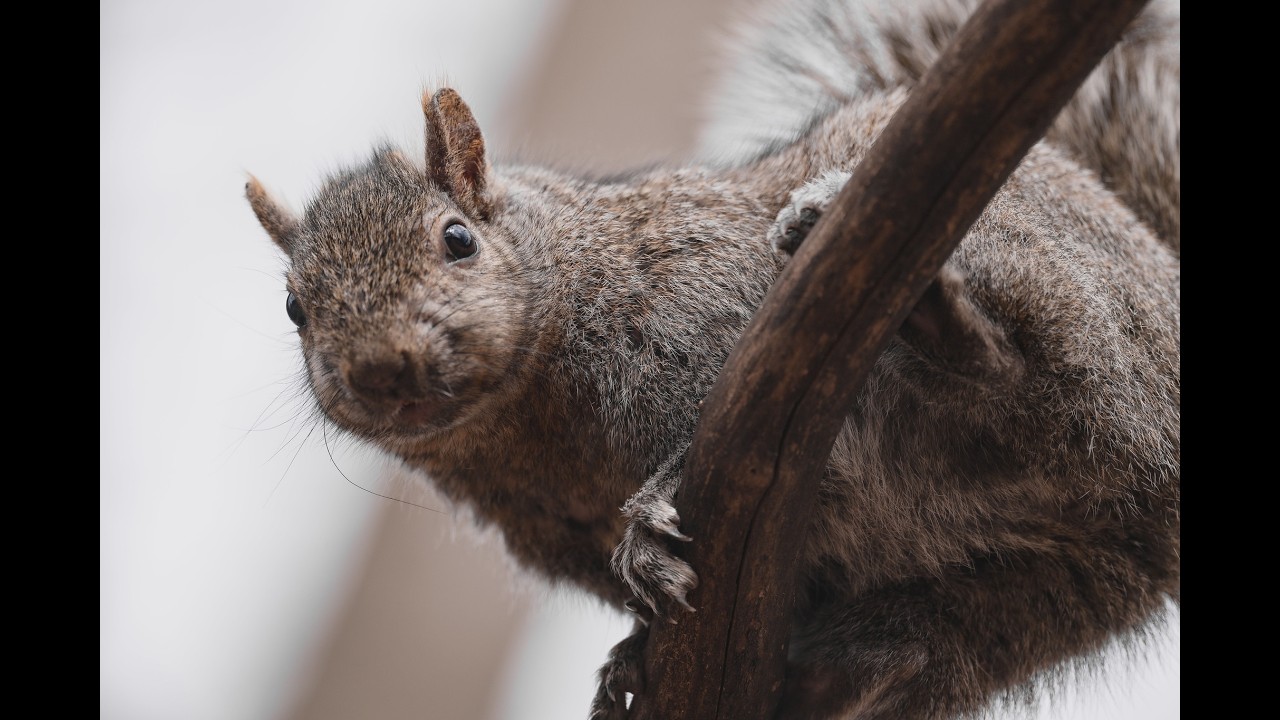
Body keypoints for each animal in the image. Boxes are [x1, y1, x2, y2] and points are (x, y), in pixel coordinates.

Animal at [246, 0, 1179, 718]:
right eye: (294, 309)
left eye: (457, 240)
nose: (381, 370)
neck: (527, 425)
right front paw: (627, 659)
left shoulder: (714, 310)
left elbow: (698, 441)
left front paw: (650, 519)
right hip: (1036, 599)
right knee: (930, 644)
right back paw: (839, 675)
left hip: (1051, 282)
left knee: (1043, 371)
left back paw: (941, 322)